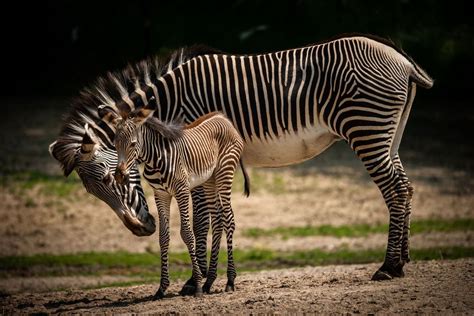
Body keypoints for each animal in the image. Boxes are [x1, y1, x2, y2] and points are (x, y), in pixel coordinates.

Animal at [98, 105, 250, 298]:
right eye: (115, 144)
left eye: (132, 144)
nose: (119, 176)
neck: (155, 160)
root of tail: (224, 118)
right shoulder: (160, 194)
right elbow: (163, 237)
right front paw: (162, 288)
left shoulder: (182, 191)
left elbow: (187, 233)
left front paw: (196, 285)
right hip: (209, 179)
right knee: (217, 221)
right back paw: (209, 282)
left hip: (225, 172)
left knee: (229, 219)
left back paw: (229, 280)